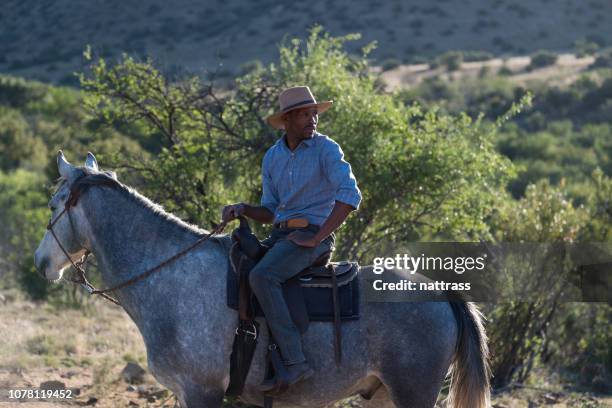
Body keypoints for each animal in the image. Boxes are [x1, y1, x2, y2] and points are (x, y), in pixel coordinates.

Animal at [34, 152, 492, 408]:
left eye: (56, 203)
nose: (41, 263)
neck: (171, 277)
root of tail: (442, 293)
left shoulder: (202, 393)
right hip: (379, 393)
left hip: (412, 391)